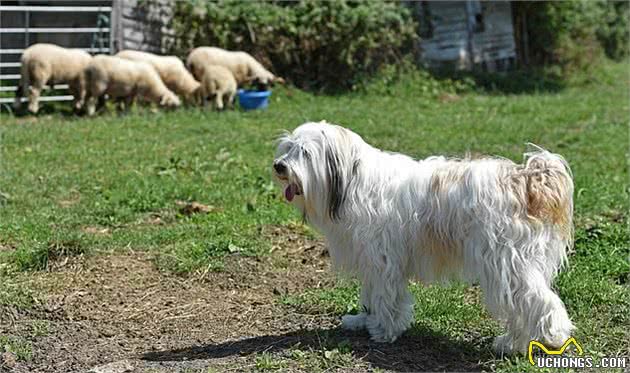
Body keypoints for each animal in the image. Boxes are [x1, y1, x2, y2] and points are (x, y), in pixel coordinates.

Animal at [272, 121, 576, 354]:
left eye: (305, 152)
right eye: (288, 147)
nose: (278, 166)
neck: (352, 182)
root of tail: (526, 177)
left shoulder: (383, 260)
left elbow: (385, 296)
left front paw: (383, 330)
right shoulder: (373, 261)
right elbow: (372, 294)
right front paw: (362, 320)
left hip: (505, 264)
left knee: (540, 303)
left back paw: (550, 337)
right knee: (521, 309)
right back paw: (512, 344)